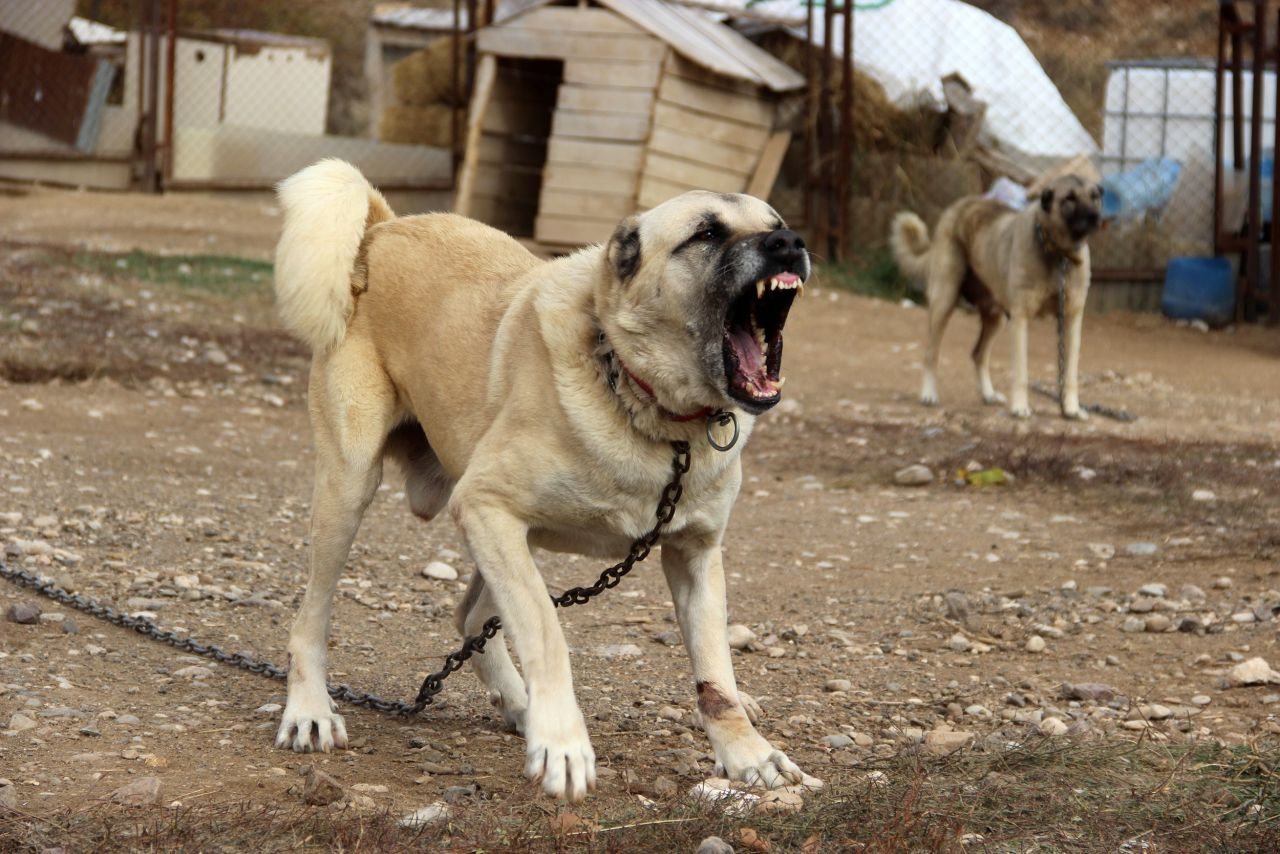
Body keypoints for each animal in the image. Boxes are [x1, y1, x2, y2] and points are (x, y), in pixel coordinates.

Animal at [270, 158, 819, 804]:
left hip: (505, 534)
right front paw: (561, 742)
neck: (648, 407)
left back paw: (519, 704)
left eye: (776, 223)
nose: (790, 243)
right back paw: (310, 710)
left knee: (470, 617)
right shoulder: (485, 506)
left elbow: (717, 676)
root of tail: (382, 229)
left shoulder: (695, 556)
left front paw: (747, 754)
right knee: (312, 619)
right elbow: (546, 631)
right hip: (354, 488)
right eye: (706, 233)